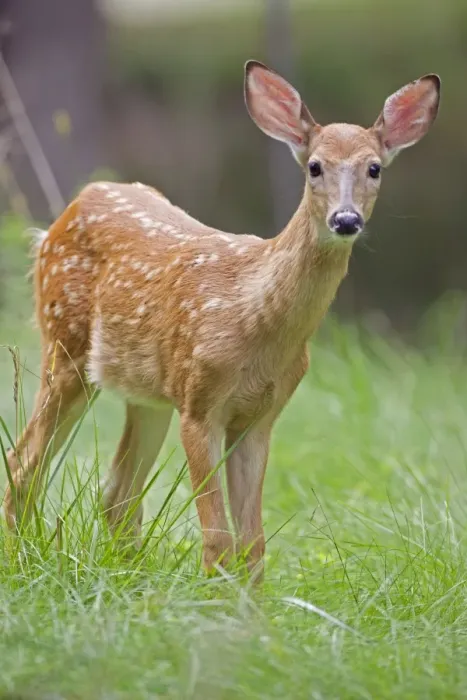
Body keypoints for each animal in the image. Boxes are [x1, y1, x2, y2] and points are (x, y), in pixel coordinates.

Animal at [3, 60, 440, 580]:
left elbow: (253, 542)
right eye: (315, 166)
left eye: (374, 168)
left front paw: (253, 604)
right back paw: (21, 556)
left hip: (146, 393)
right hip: (65, 347)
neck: (255, 321)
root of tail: (61, 218)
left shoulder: (261, 416)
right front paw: (216, 600)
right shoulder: (200, 404)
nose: (346, 219)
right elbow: (216, 538)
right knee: (24, 463)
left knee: (118, 493)